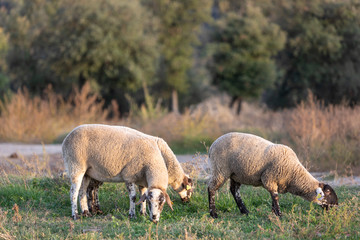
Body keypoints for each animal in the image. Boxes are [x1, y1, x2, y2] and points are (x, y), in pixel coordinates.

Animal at [207, 132, 338, 218]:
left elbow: (273, 197)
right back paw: (213, 213)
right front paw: (279, 214)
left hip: (236, 173)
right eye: (328, 193)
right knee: (211, 188)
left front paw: (273, 212)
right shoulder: (269, 178)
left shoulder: (275, 181)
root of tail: (212, 145)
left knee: (234, 191)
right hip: (220, 169)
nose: (336, 207)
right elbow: (275, 196)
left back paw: (245, 211)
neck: (294, 174)